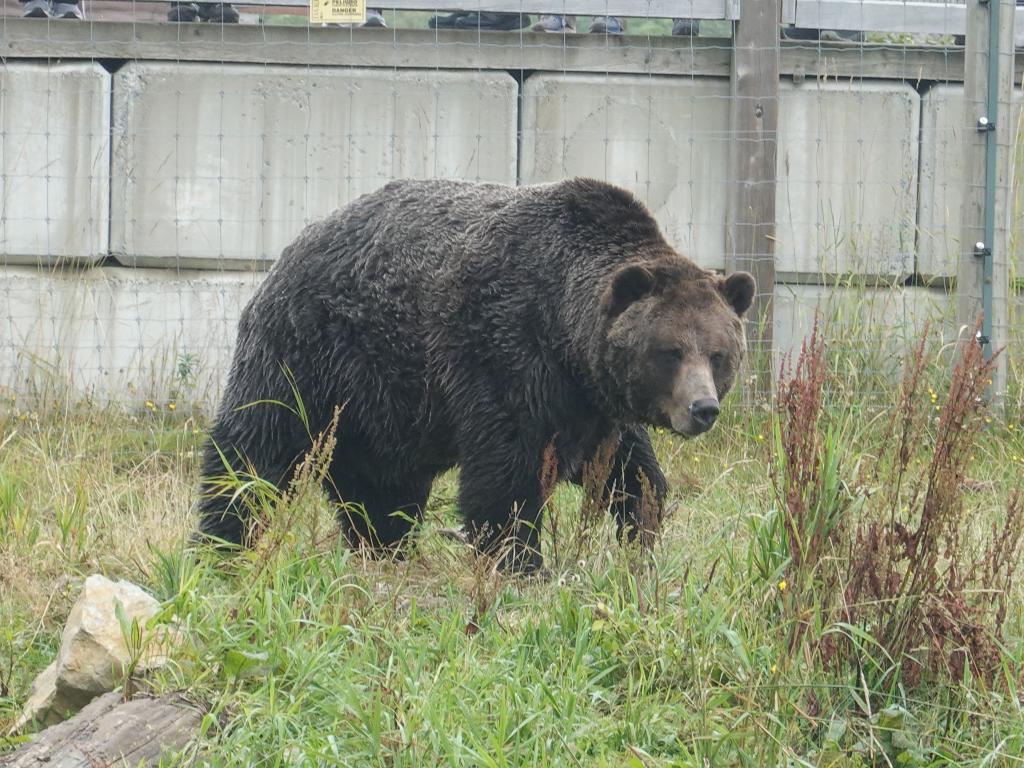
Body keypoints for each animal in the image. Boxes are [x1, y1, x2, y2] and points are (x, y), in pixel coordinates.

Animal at [195, 176, 753, 573]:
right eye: (670, 352)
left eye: (718, 354)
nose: (702, 408)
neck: (565, 332)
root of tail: (293, 245)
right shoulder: (503, 348)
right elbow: (506, 474)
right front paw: (520, 561)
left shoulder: (591, 403)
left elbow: (628, 470)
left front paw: (641, 532)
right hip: (308, 356)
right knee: (256, 445)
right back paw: (222, 541)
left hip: (383, 402)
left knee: (380, 484)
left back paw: (384, 546)